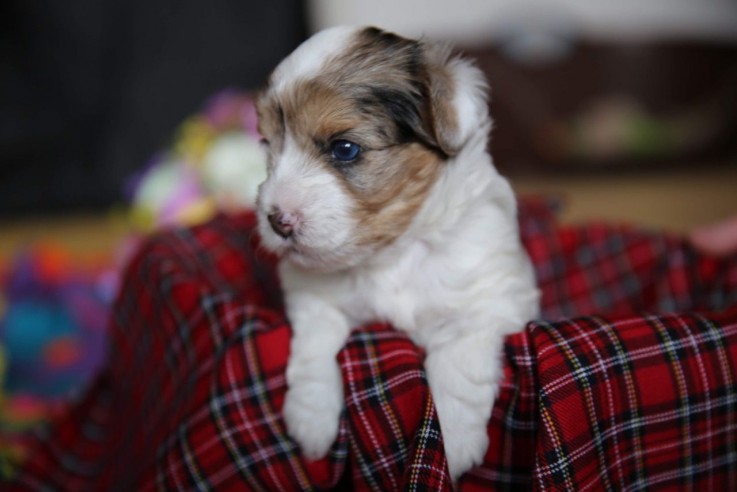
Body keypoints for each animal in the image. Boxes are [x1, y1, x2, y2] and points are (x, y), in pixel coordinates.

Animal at [256, 26, 536, 480]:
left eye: (345, 149)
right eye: (267, 143)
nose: (277, 220)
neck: (393, 251)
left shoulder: (491, 299)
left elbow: (457, 365)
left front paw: (452, 444)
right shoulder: (313, 295)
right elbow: (316, 343)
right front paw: (311, 421)